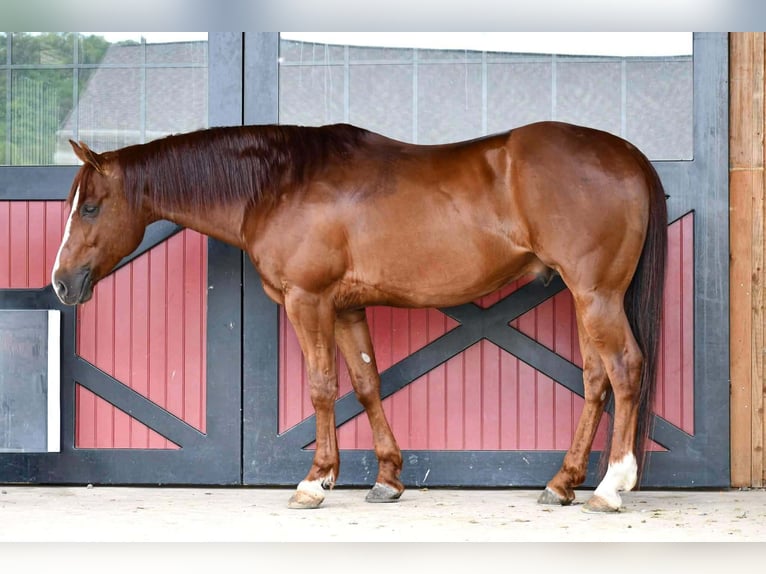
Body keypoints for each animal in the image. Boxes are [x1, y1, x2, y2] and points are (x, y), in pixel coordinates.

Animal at [51, 121, 667, 513]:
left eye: (91, 207)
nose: (60, 283)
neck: (280, 182)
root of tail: (628, 155)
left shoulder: (308, 301)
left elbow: (323, 386)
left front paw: (315, 481)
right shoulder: (347, 308)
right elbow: (367, 383)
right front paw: (388, 479)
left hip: (596, 294)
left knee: (625, 370)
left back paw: (611, 486)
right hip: (584, 297)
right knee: (596, 379)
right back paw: (561, 484)